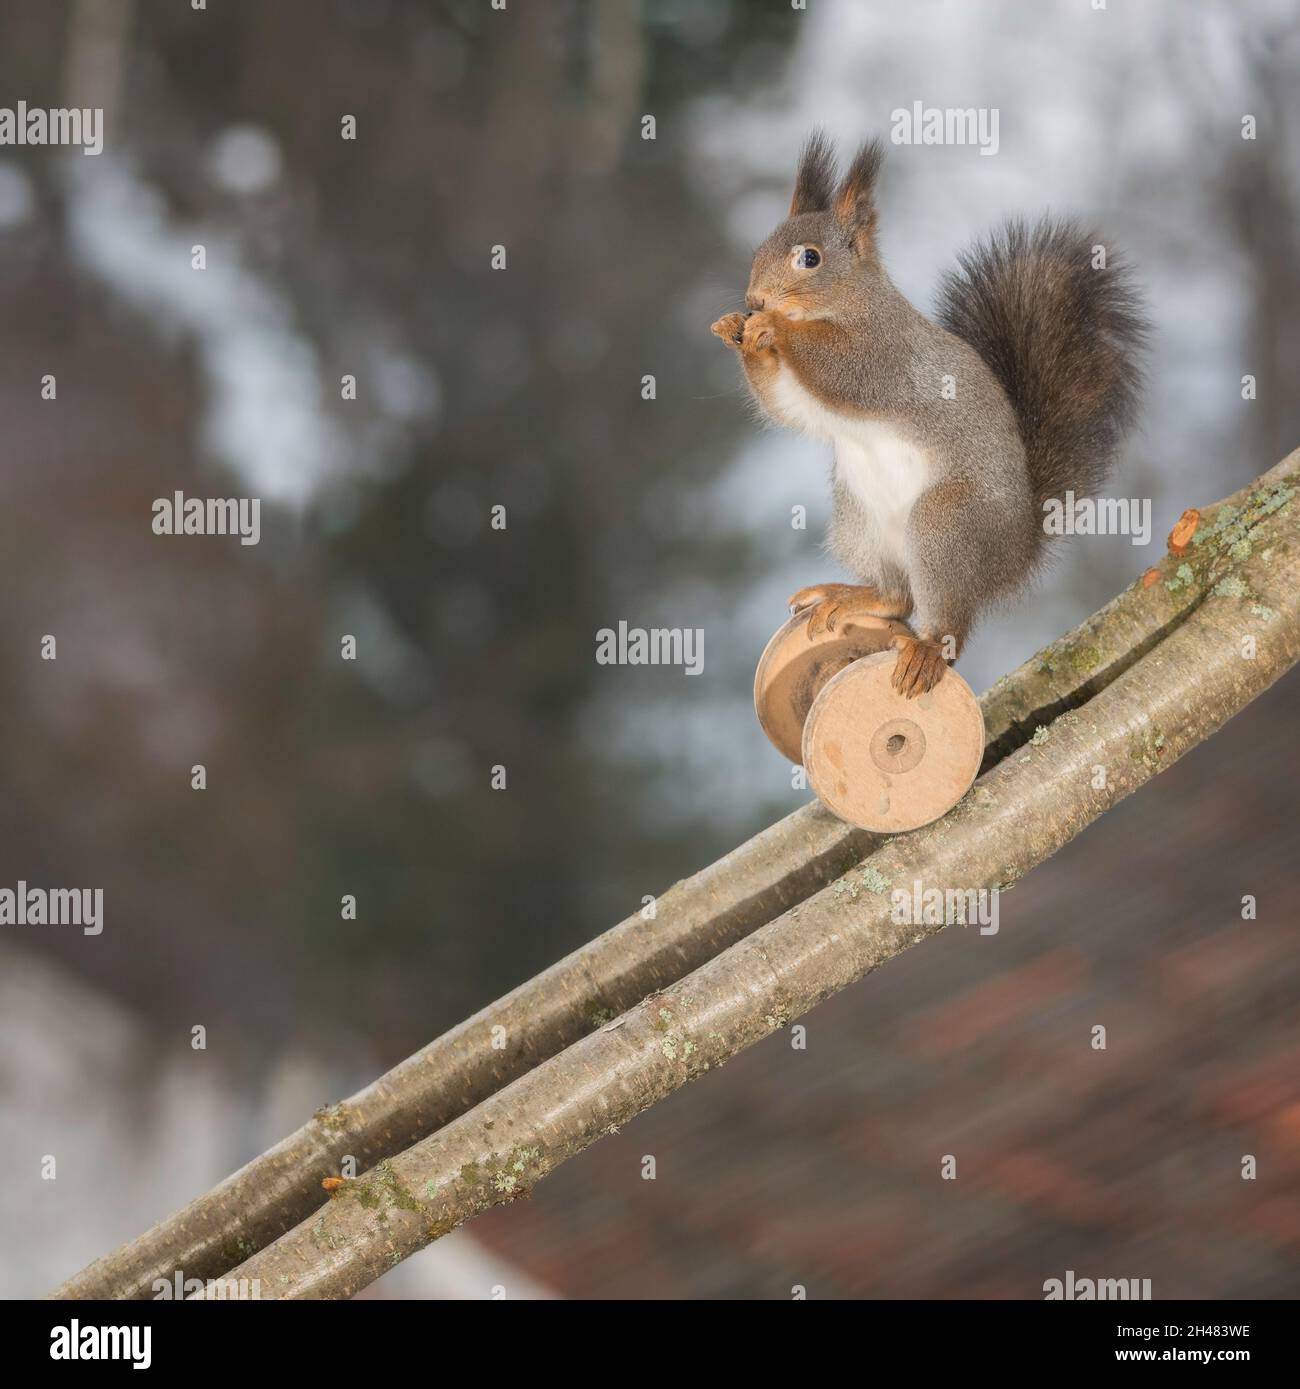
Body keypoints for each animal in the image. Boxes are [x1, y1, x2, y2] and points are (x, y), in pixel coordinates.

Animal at [711, 135, 1150, 700]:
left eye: (810, 257)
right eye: (760, 248)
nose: (754, 299)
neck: (851, 305)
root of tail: (1014, 554)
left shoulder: (886, 354)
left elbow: (842, 369)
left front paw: (773, 326)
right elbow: (785, 405)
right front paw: (733, 328)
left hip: (946, 524)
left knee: (948, 624)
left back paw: (925, 652)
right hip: (860, 520)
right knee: (899, 598)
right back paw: (854, 597)